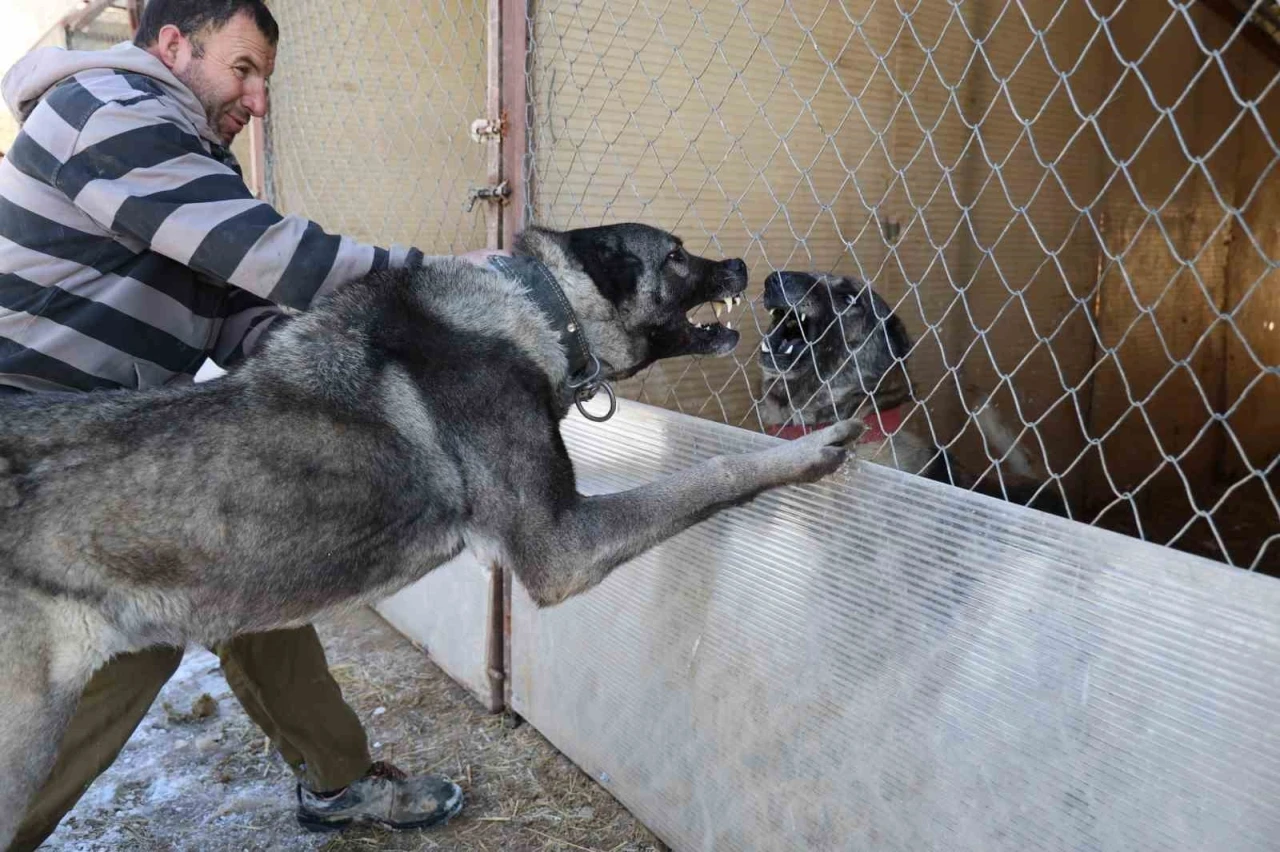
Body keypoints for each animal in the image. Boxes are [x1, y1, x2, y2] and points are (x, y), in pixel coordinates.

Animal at [2, 220, 870, 844]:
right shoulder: (561, 549)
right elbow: (704, 475)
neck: (539, 309)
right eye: (679, 255)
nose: (748, 266)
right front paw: (804, 454)